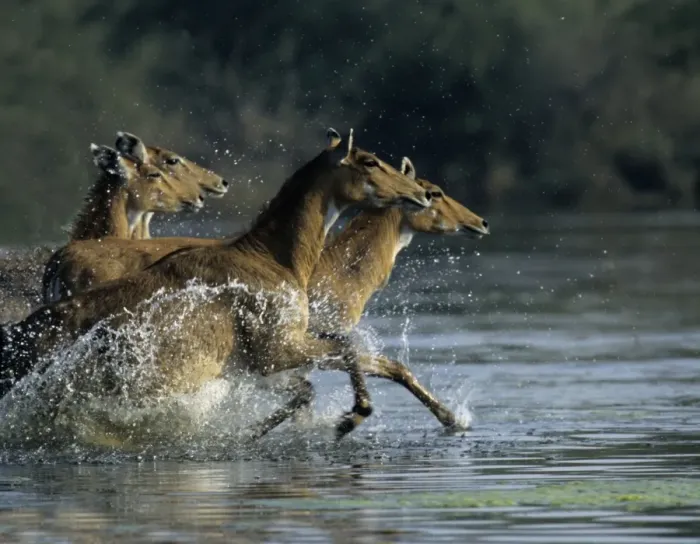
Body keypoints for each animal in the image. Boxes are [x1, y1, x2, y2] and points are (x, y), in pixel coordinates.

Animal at [0, 128, 432, 442]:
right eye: (369, 161)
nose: (421, 193)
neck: (275, 257)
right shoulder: (275, 350)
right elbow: (347, 348)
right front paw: (354, 415)